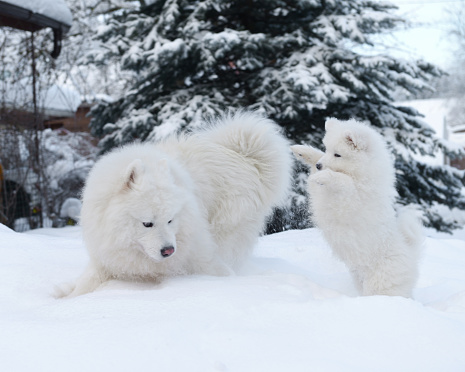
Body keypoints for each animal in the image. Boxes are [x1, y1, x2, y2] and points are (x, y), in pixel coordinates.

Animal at [57, 112, 290, 298]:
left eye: (170, 220)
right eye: (147, 223)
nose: (168, 251)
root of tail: (246, 159)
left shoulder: (199, 254)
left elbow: (216, 269)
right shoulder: (106, 257)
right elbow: (85, 284)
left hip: (225, 228)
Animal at [292, 117, 422, 298]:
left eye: (338, 154)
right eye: (327, 149)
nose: (319, 166)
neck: (362, 174)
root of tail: (410, 254)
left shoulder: (353, 194)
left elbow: (341, 180)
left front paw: (322, 176)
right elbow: (319, 157)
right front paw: (302, 151)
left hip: (379, 285)